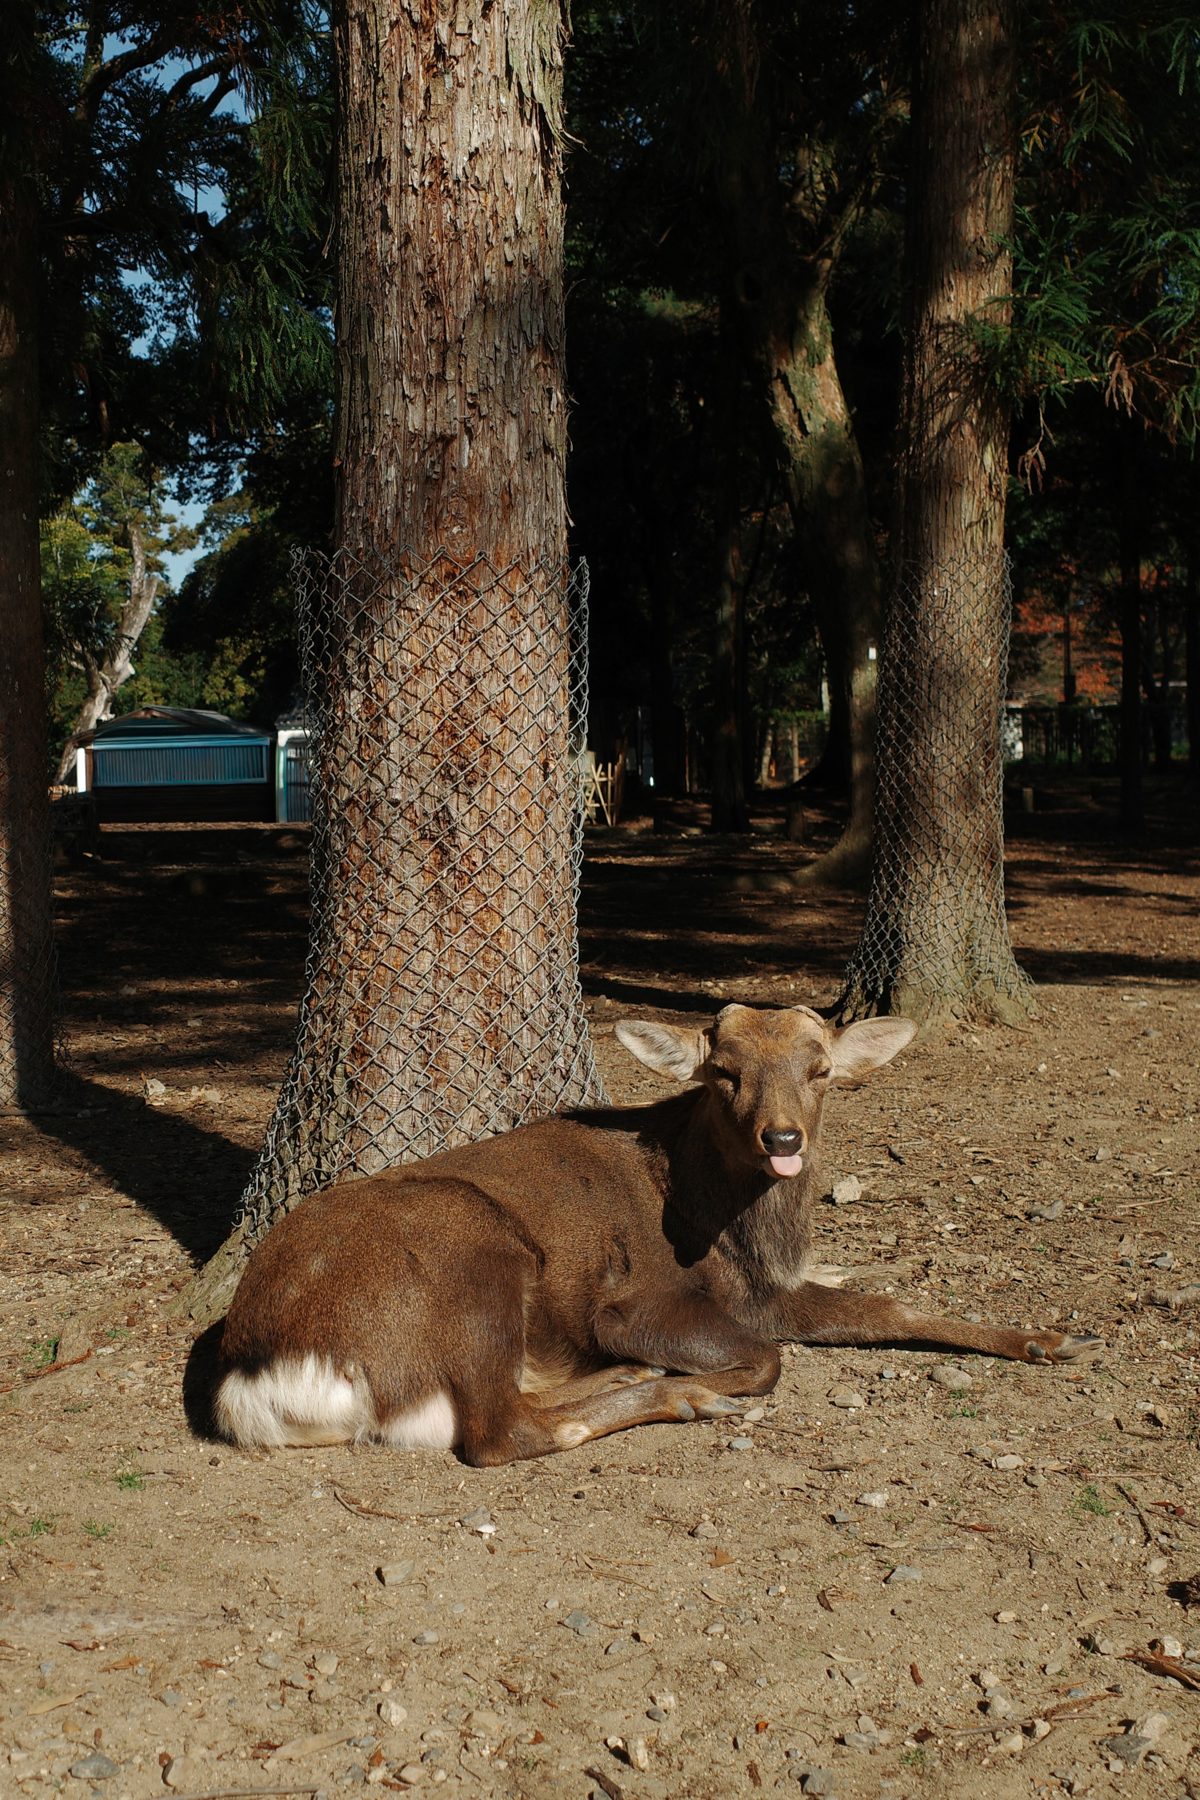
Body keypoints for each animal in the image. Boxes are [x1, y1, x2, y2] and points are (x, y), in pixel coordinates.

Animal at [214, 1004, 1100, 1465]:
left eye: (820, 1071)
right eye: (724, 1074)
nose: (783, 1139)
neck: (741, 1240)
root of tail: (265, 1378)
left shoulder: (775, 1291)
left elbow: (888, 1308)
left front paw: (1053, 1337)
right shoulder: (634, 1298)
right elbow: (771, 1356)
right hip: (477, 1252)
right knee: (500, 1431)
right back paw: (685, 1394)